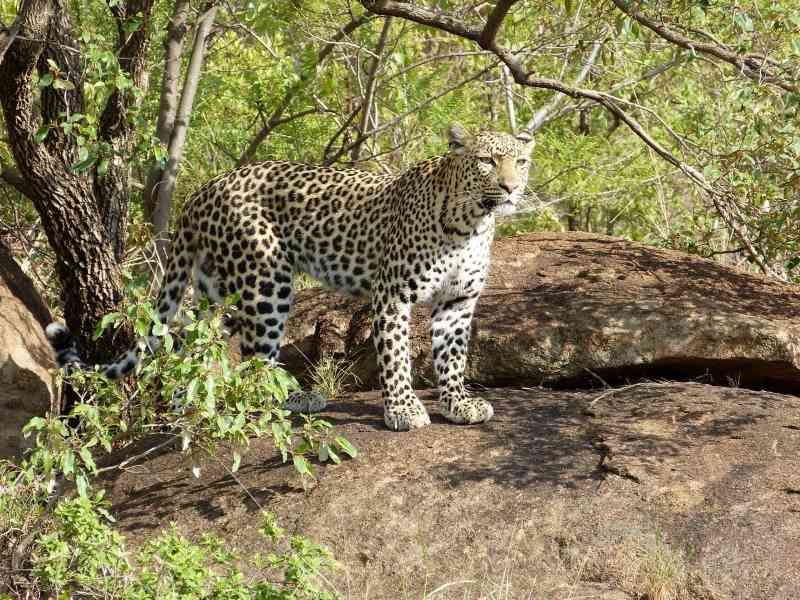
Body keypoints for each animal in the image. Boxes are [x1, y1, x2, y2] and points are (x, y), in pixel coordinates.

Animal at [47, 122, 535, 431]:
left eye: (522, 162)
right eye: (487, 160)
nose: (512, 188)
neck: (470, 223)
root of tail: (202, 191)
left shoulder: (458, 302)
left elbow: (452, 356)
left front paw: (458, 403)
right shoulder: (392, 294)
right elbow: (396, 356)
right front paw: (403, 409)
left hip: (217, 289)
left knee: (195, 343)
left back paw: (187, 404)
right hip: (265, 279)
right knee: (255, 355)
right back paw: (293, 398)